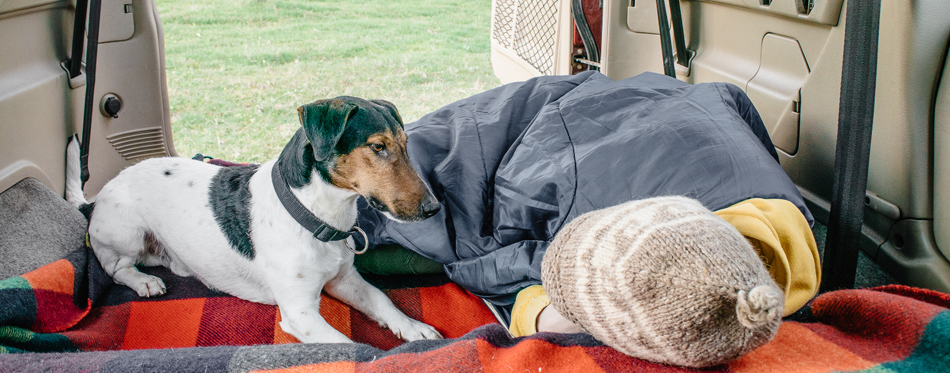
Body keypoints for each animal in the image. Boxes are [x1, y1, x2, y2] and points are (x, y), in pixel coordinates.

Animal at [67, 96, 446, 342]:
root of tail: (96, 197)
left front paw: (412, 327)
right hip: (125, 232)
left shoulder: (344, 280)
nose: (434, 208)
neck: (314, 215)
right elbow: (350, 346)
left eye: (405, 143)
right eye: (377, 147)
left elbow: (382, 300)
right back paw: (143, 281)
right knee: (116, 268)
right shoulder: (300, 313)